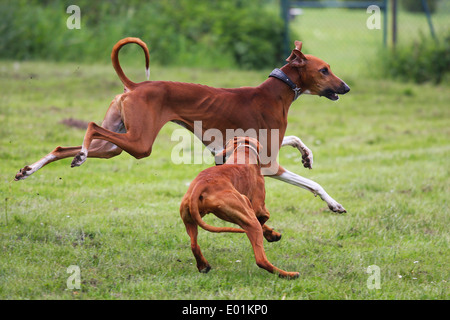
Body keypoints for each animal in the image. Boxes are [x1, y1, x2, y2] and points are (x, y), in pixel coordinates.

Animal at [178, 136, 298, 278]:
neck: (243, 151)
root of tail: (201, 184)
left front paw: (272, 234)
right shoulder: (259, 209)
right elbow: (263, 218)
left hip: (190, 219)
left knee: (193, 245)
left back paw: (203, 265)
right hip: (248, 217)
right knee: (261, 260)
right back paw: (289, 274)